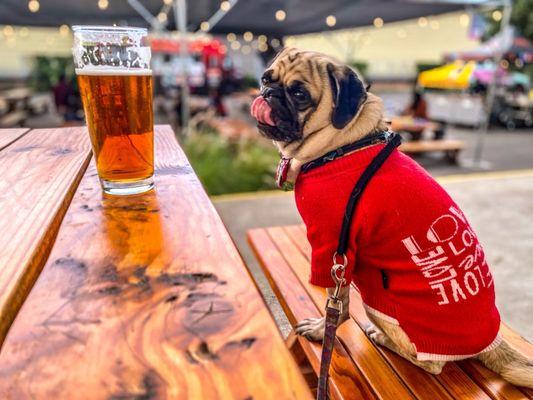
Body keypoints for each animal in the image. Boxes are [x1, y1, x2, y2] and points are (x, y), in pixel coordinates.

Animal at [249, 47, 532, 388]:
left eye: (299, 94)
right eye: (266, 78)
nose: (268, 93)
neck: (342, 145)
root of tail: (490, 342)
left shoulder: (332, 246)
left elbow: (338, 307)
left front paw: (320, 329)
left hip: (379, 302)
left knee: (431, 364)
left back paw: (383, 338)